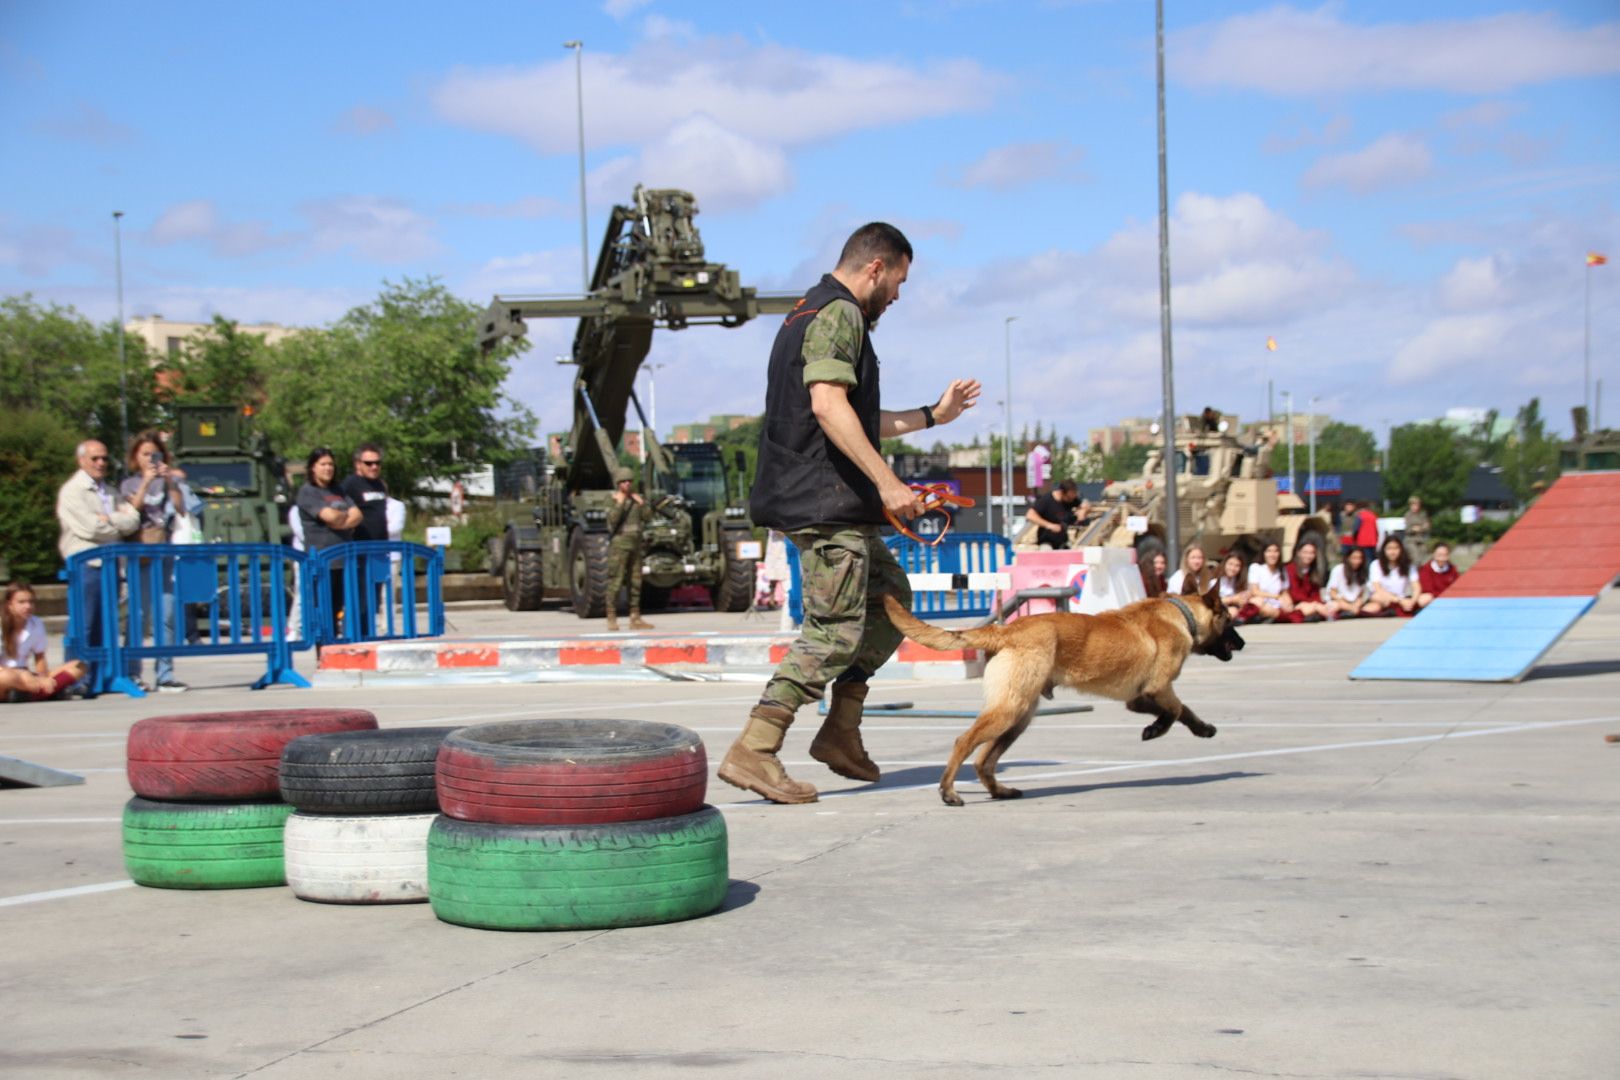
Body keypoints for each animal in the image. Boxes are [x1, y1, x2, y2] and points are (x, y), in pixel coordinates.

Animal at [881, 586, 1244, 806]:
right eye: (1230, 619)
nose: (1242, 643)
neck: (1180, 613)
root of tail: (1005, 629)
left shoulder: (1140, 698)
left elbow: (1179, 711)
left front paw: (1190, 728)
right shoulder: (1159, 689)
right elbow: (1177, 710)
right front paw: (1163, 730)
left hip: (1019, 717)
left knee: (984, 760)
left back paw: (1000, 791)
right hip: (1010, 711)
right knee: (964, 742)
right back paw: (948, 791)